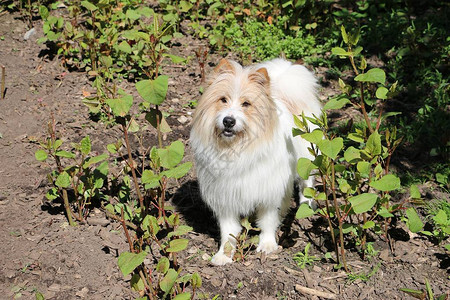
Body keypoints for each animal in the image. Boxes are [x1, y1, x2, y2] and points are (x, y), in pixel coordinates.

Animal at [189, 57, 320, 264]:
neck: (236, 148)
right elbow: (228, 231)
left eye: (246, 104)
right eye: (223, 100)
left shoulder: (268, 192)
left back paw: (307, 205)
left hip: (306, 158)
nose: (228, 121)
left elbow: (267, 221)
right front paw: (224, 254)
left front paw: (267, 245)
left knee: (306, 182)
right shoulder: (225, 196)